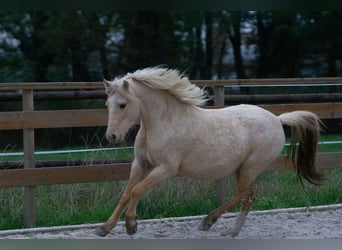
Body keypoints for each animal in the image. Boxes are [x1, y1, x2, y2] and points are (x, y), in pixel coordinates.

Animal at [94, 67, 324, 238]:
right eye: (107, 104)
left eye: (123, 105)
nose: (111, 136)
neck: (163, 122)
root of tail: (277, 119)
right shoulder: (140, 164)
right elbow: (126, 194)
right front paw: (104, 228)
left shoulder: (166, 169)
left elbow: (137, 190)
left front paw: (131, 225)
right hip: (243, 169)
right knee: (248, 197)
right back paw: (230, 230)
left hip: (250, 167)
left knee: (244, 195)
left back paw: (210, 222)